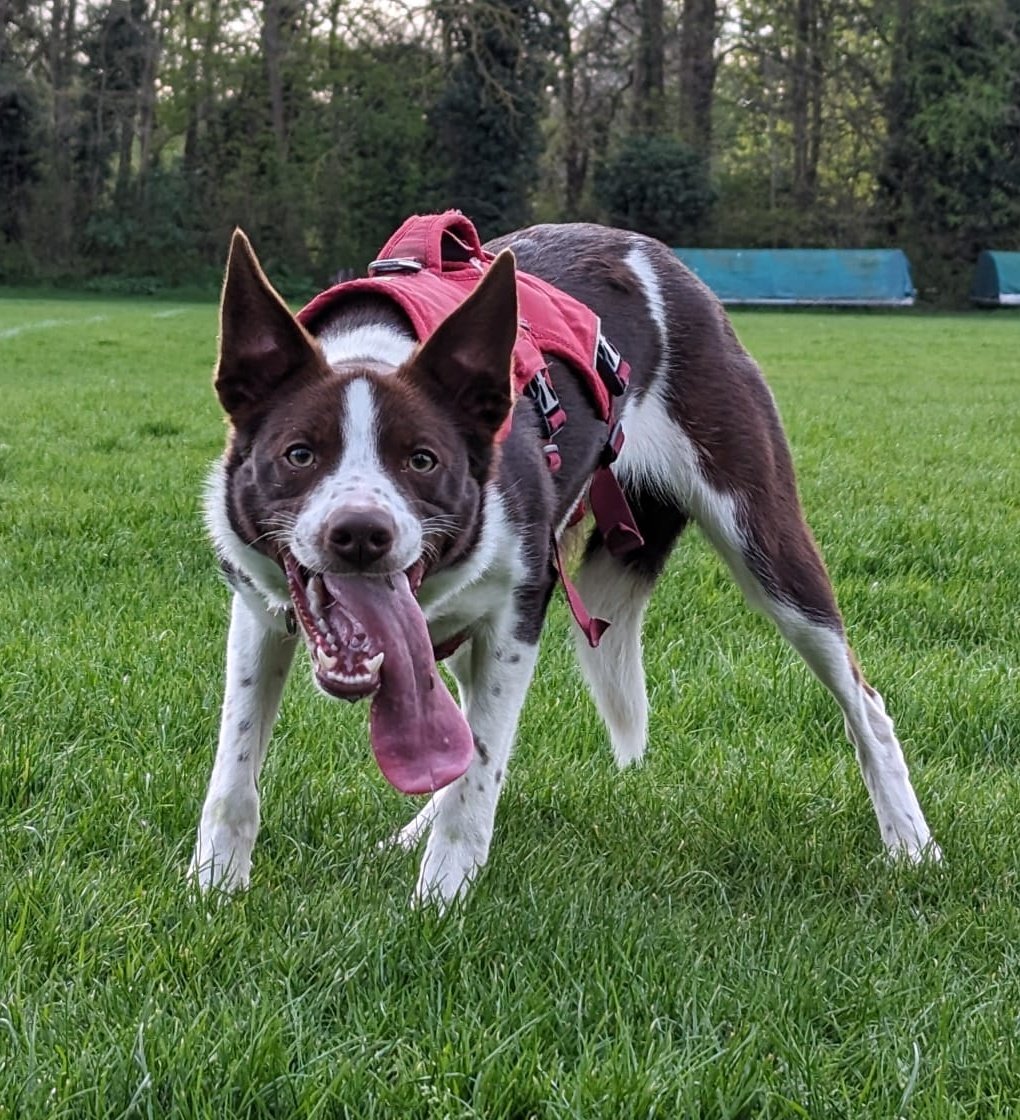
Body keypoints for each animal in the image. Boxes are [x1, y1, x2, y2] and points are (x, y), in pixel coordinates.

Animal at [189, 213, 940, 904]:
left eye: (422, 460)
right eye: (299, 454)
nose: (359, 534)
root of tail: (655, 253)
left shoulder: (520, 609)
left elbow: (478, 773)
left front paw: (439, 904)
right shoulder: (258, 610)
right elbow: (235, 768)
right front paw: (214, 890)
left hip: (765, 535)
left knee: (864, 700)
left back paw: (911, 844)